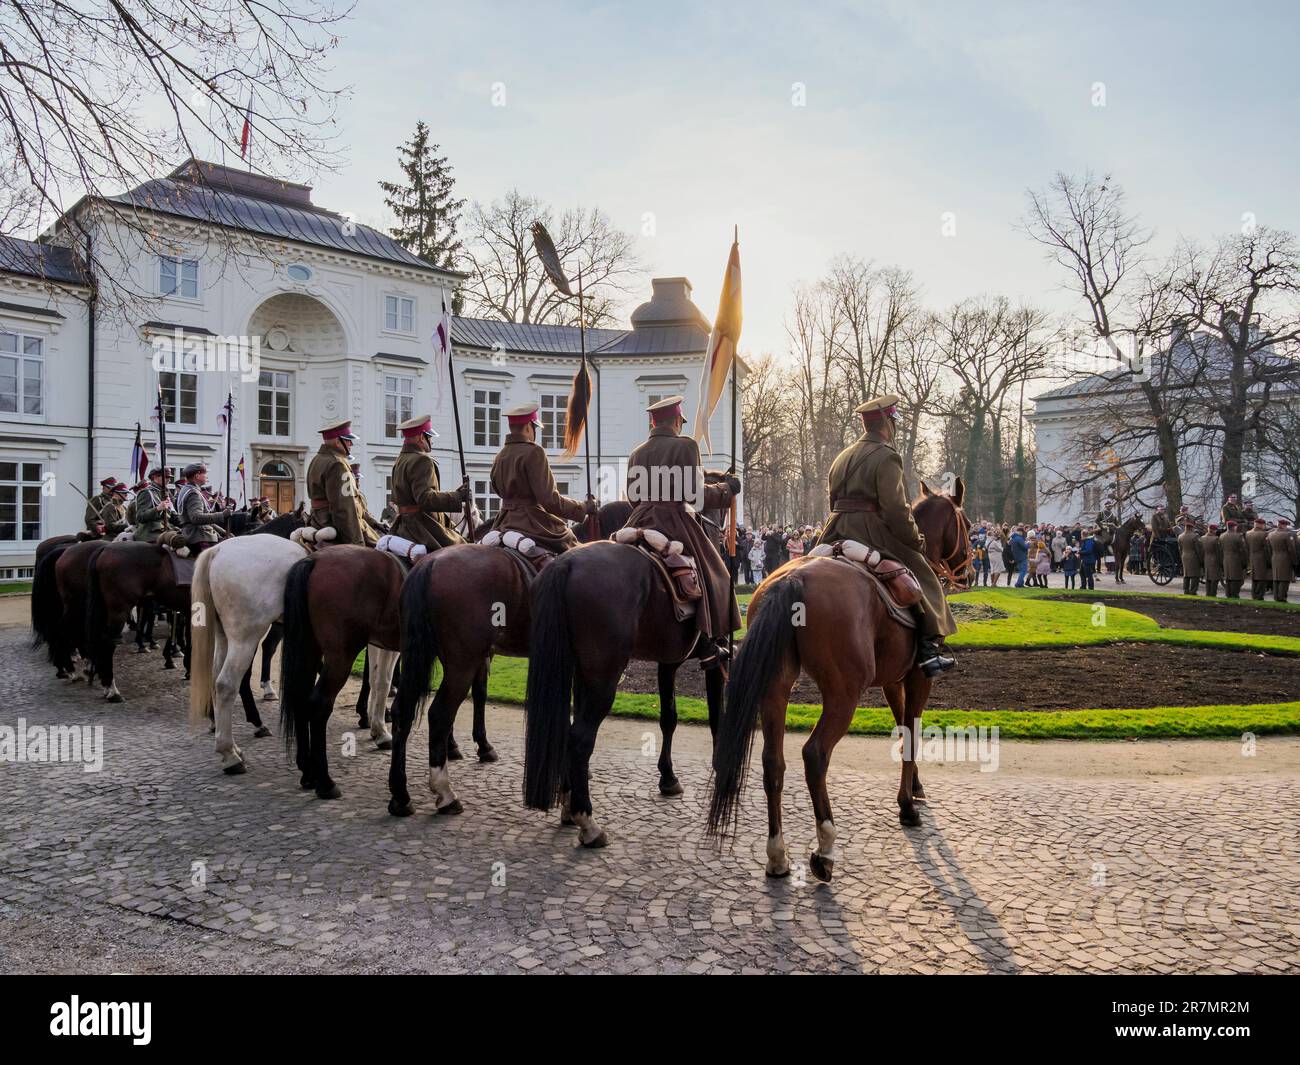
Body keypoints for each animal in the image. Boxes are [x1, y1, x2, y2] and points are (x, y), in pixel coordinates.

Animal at [185, 538, 392, 769]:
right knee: (227, 683)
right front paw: (379, 726)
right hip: (246, 637)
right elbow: (381, 682)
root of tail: (218, 549)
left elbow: (374, 679)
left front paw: (373, 721)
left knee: (216, 676)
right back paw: (231, 752)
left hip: (225, 636)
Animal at [707, 483, 972, 884]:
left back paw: (777, 855)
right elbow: (911, 731)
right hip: (843, 694)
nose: (968, 573)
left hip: (775, 689)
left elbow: (901, 727)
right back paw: (825, 849)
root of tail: (793, 579)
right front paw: (907, 806)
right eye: (967, 524)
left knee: (773, 762)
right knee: (814, 755)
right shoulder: (917, 676)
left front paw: (914, 786)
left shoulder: (892, 680)